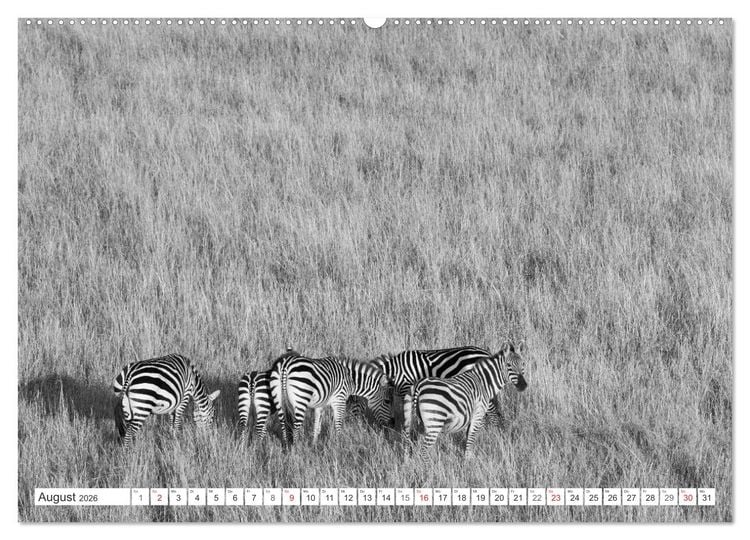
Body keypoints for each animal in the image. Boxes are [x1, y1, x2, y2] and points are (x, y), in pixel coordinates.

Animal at [372, 345, 511, 433]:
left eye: (387, 401)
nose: (390, 425)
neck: (395, 372)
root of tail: (486, 354)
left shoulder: (407, 388)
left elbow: (410, 413)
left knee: (492, 412)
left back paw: (494, 432)